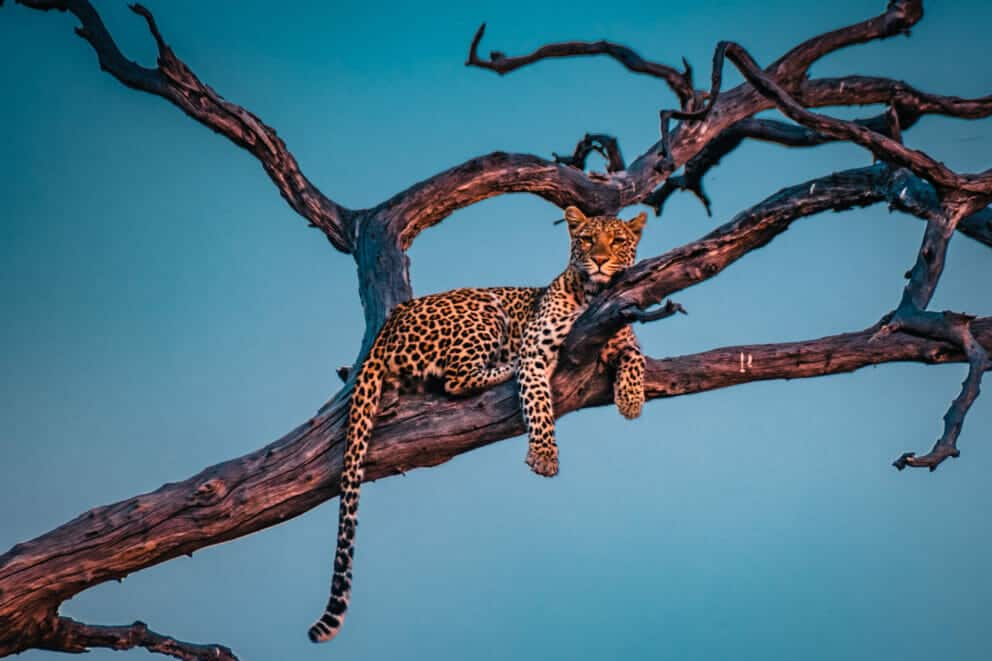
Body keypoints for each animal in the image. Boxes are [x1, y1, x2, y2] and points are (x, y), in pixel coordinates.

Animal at [308, 205, 648, 643]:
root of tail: (391, 321)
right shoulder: (536, 352)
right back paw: (504, 365)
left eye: (618, 241)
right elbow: (539, 405)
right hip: (483, 307)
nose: (601, 260)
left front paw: (631, 399)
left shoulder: (624, 331)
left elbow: (635, 357)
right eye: (587, 239)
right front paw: (544, 455)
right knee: (457, 378)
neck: (592, 296)